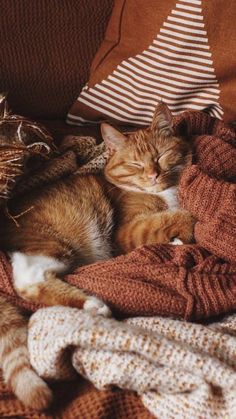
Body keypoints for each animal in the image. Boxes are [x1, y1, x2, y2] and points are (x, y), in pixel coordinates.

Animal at [0, 102, 194, 410]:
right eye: (135, 165)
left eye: (161, 156)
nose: (153, 175)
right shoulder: (127, 232)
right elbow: (173, 218)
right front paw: (183, 230)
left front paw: (176, 240)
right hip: (55, 241)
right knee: (28, 281)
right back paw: (92, 305)